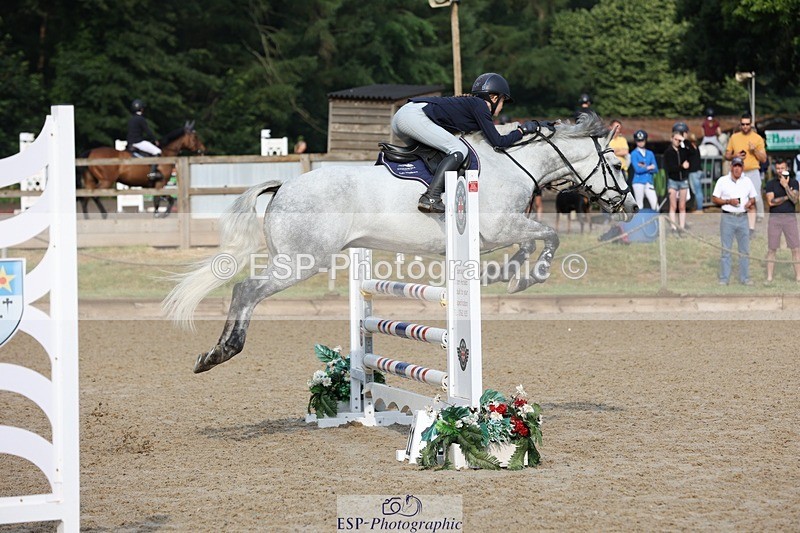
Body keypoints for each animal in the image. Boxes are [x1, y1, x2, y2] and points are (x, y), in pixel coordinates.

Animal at [76, 121, 205, 218]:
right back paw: (104, 215)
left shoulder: (154, 186)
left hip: (91, 181)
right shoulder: (160, 184)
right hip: (106, 181)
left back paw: (87, 218)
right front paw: (160, 215)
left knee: (86, 198)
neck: (165, 153)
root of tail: (91, 152)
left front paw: (159, 214)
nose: (203, 150)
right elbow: (163, 200)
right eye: (195, 137)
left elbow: (164, 200)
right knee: (95, 196)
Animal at [163, 113, 638, 374]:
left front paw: (508, 276)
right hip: (302, 261)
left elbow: (527, 245)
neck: (513, 162)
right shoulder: (501, 227)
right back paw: (223, 351)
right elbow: (549, 236)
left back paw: (214, 353)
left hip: (295, 259)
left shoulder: (502, 232)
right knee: (246, 289)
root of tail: (283, 186)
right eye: (616, 164)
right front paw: (529, 278)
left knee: (244, 290)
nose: (631, 206)